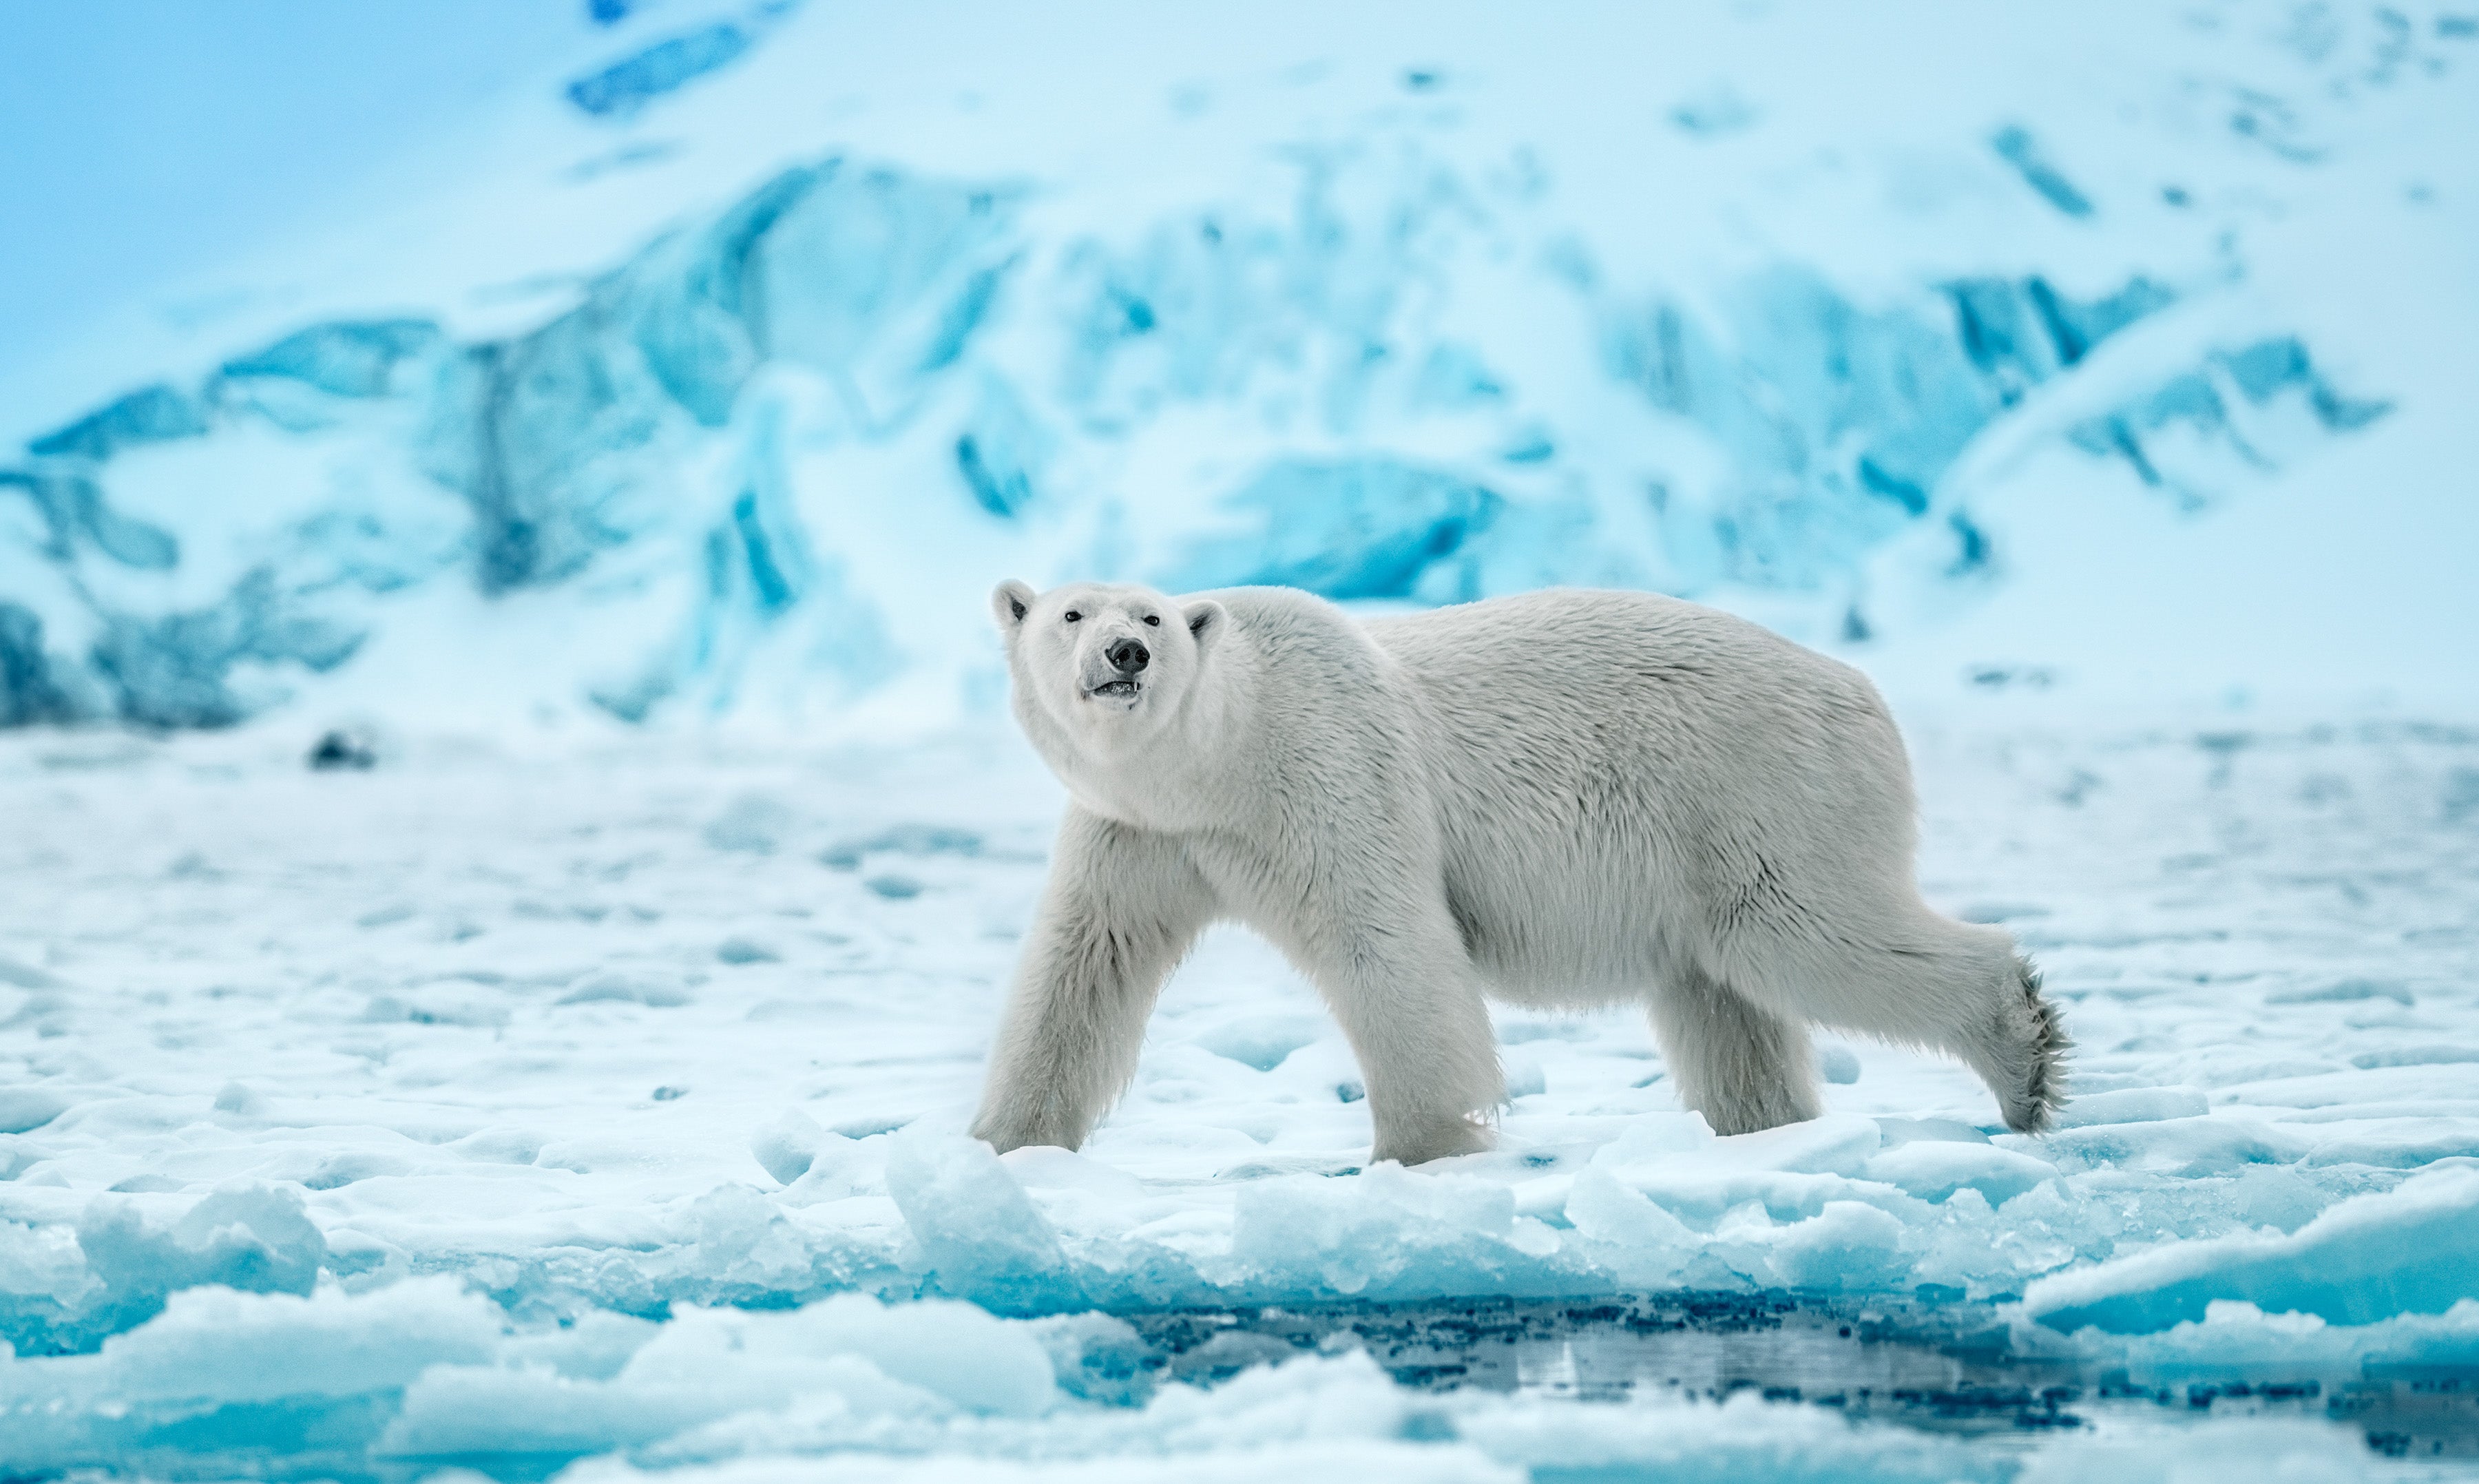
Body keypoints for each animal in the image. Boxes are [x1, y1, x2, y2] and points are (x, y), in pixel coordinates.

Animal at [970, 580, 2067, 1165]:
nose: (1126, 653)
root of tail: (1862, 689)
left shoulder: (1331, 772)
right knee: (1725, 999)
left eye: (1152, 616)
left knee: (1808, 932)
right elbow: (1083, 966)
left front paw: (1421, 1148)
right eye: (1071, 613)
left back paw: (2024, 1057)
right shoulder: (1139, 832)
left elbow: (1388, 945)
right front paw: (1002, 1142)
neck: (1223, 759)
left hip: (1761, 788)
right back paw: (1766, 1130)